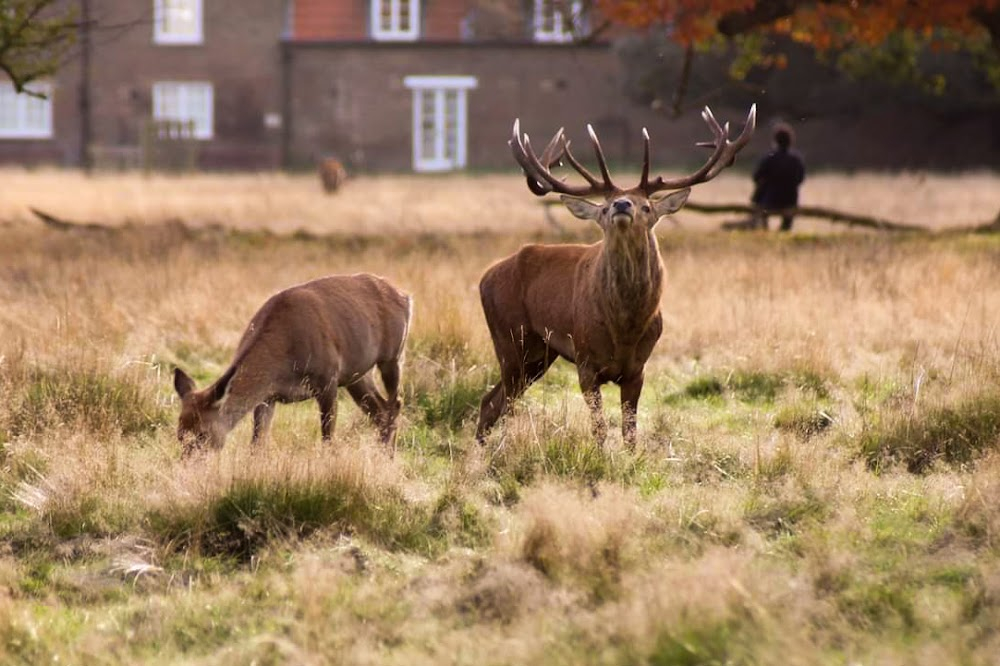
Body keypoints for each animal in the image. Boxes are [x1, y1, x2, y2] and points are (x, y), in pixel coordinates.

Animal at [172, 272, 410, 454]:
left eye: (202, 433)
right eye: (179, 434)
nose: (189, 464)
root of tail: (405, 295)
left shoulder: (327, 379)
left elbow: (327, 438)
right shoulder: (267, 397)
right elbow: (257, 444)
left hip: (393, 356)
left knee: (395, 403)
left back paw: (388, 456)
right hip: (357, 374)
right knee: (379, 410)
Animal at [474, 106, 752, 448]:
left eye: (646, 206)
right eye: (604, 208)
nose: (621, 204)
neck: (624, 330)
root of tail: (484, 278)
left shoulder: (638, 368)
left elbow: (630, 430)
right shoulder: (585, 361)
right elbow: (599, 429)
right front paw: (599, 456)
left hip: (539, 354)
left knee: (493, 401)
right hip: (510, 339)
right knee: (495, 401)